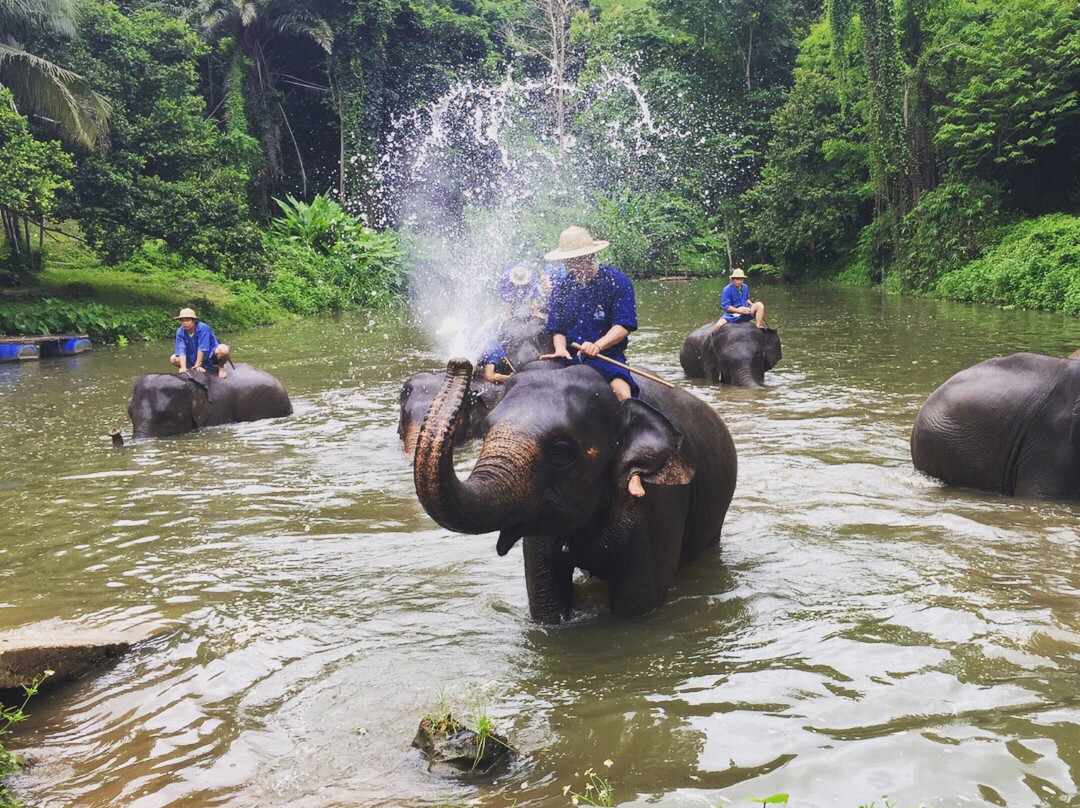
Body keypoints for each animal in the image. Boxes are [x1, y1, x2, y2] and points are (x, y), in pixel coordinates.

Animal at [410, 360, 734, 626]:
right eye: (486, 429)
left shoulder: (658, 504)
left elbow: (637, 604)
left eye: (561, 451)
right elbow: (547, 601)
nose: (459, 363)